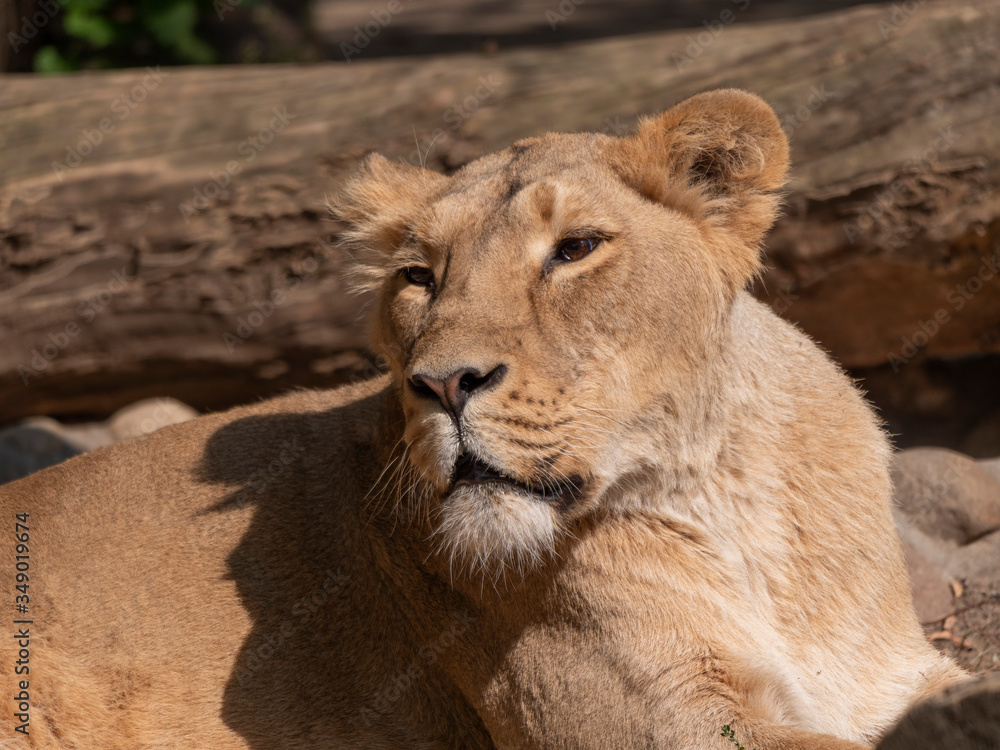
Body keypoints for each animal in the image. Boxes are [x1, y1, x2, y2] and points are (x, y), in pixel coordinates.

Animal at [1, 89, 964, 750]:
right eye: (418, 276)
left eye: (576, 249)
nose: (442, 382)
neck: (726, 493)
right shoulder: (663, 721)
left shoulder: (895, 677)